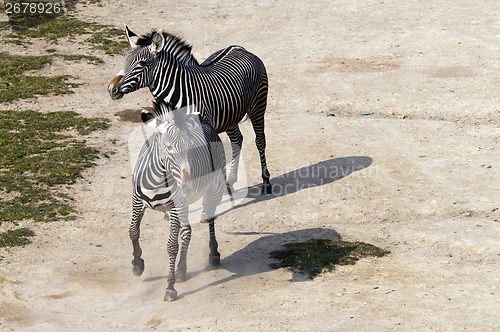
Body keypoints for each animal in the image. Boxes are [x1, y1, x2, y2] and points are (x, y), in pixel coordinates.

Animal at [108, 27, 274, 195]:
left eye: (141, 64)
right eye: (126, 61)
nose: (111, 89)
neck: (180, 92)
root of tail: (240, 49)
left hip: (258, 106)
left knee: (260, 140)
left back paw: (266, 182)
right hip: (230, 114)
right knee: (237, 140)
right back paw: (230, 181)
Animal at [132, 98, 228, 300]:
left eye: (191, 148)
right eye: (168, 148)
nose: (187, 186)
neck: (158, 182)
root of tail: (203, 119)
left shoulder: (175, 207)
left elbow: (171, 246)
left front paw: (170, 286)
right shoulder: (136, 200)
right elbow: (133, 231)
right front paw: (137, 264)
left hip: (214, 190)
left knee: (209, 218)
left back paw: (213, 253)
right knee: (186, 232)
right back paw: (182, 270)